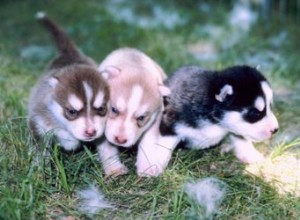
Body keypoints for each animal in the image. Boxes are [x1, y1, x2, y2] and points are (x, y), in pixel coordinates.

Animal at [96, 47, 170, 177]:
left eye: (141, 118)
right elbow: (106, 147)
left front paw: (147, 167)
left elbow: (149, 141)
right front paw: (114, 169)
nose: (120, 140)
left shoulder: (155, 119)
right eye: (114, 109)